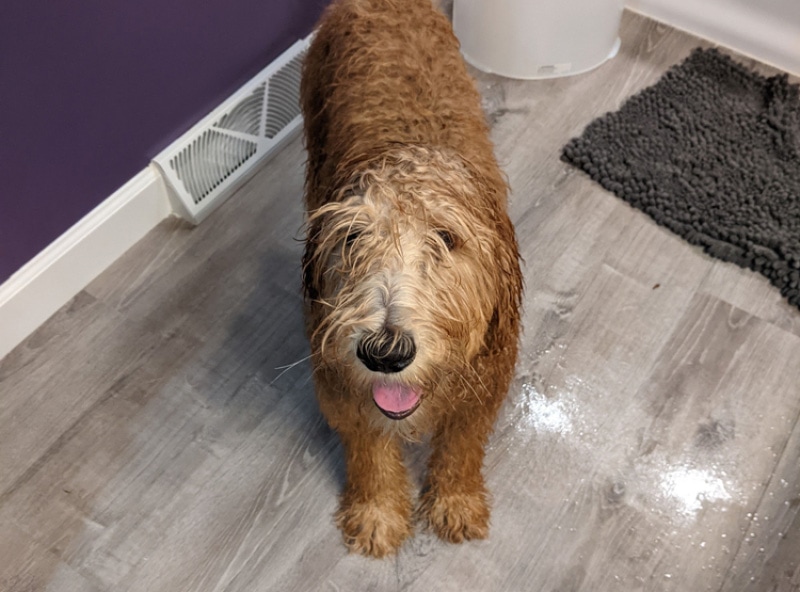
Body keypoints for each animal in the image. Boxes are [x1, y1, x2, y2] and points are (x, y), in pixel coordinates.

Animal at [296, 0, 520, 556]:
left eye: (446, 238)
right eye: (353, 237)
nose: (385, 352)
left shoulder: (485, 384)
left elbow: (461, 447)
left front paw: (456, 501)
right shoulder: (341, 385)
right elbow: (369, 450)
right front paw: (377, 513)